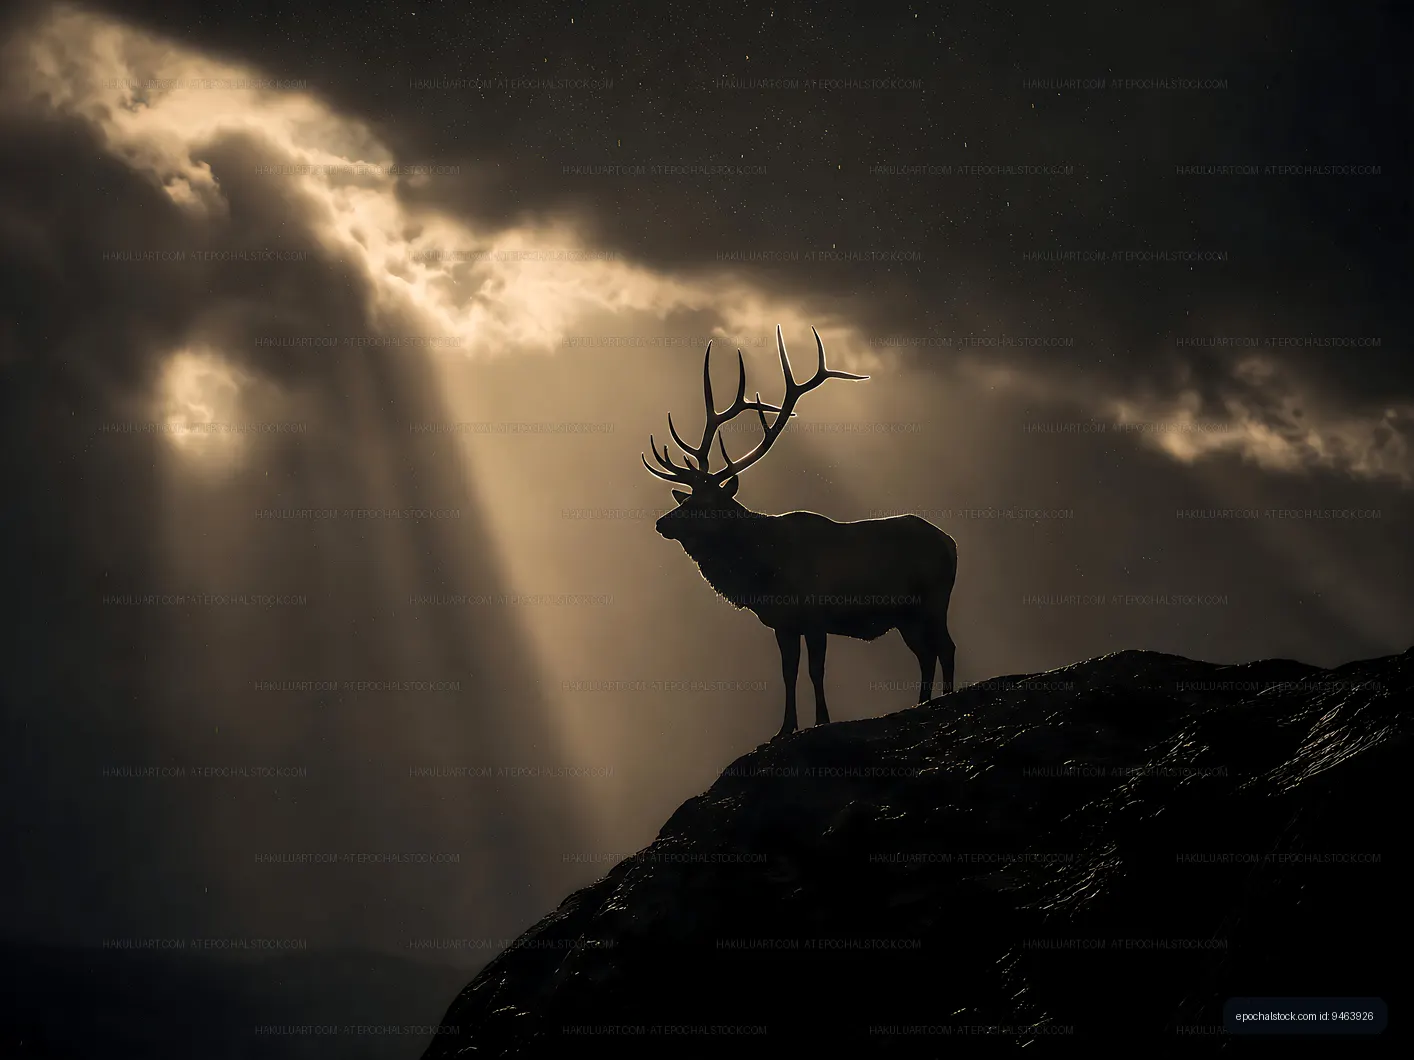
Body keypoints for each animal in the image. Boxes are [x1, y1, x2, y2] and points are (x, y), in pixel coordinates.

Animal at [642, 325, 958, 742]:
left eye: (705, 504)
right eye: (687, 499)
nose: (662, 522)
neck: (764, 571)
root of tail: (952, 543)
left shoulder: (815, 614)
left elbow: (815, 670)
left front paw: (822, 720)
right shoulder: (783, 622)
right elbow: (788, 673)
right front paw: (784, 728)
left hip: (934, 599)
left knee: (946, 648)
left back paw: (945, 698)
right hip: (907, 615)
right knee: (926, 653)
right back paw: (921, 702)